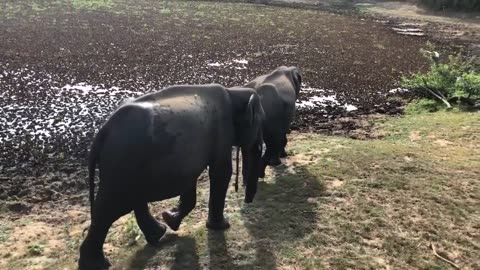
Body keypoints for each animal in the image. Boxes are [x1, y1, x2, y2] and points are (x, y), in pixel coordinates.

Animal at [79, 83, 266, 268]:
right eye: (260, 122)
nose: (248, 200)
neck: (233, 92)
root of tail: (102, 133)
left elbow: (190, 179)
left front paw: (170, 219)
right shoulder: (222, 130)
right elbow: (221, 171)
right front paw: (222, 227)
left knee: (131, 199)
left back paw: (158, 234)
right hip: (121, 162)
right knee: (110, 208)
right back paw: (97, 264)